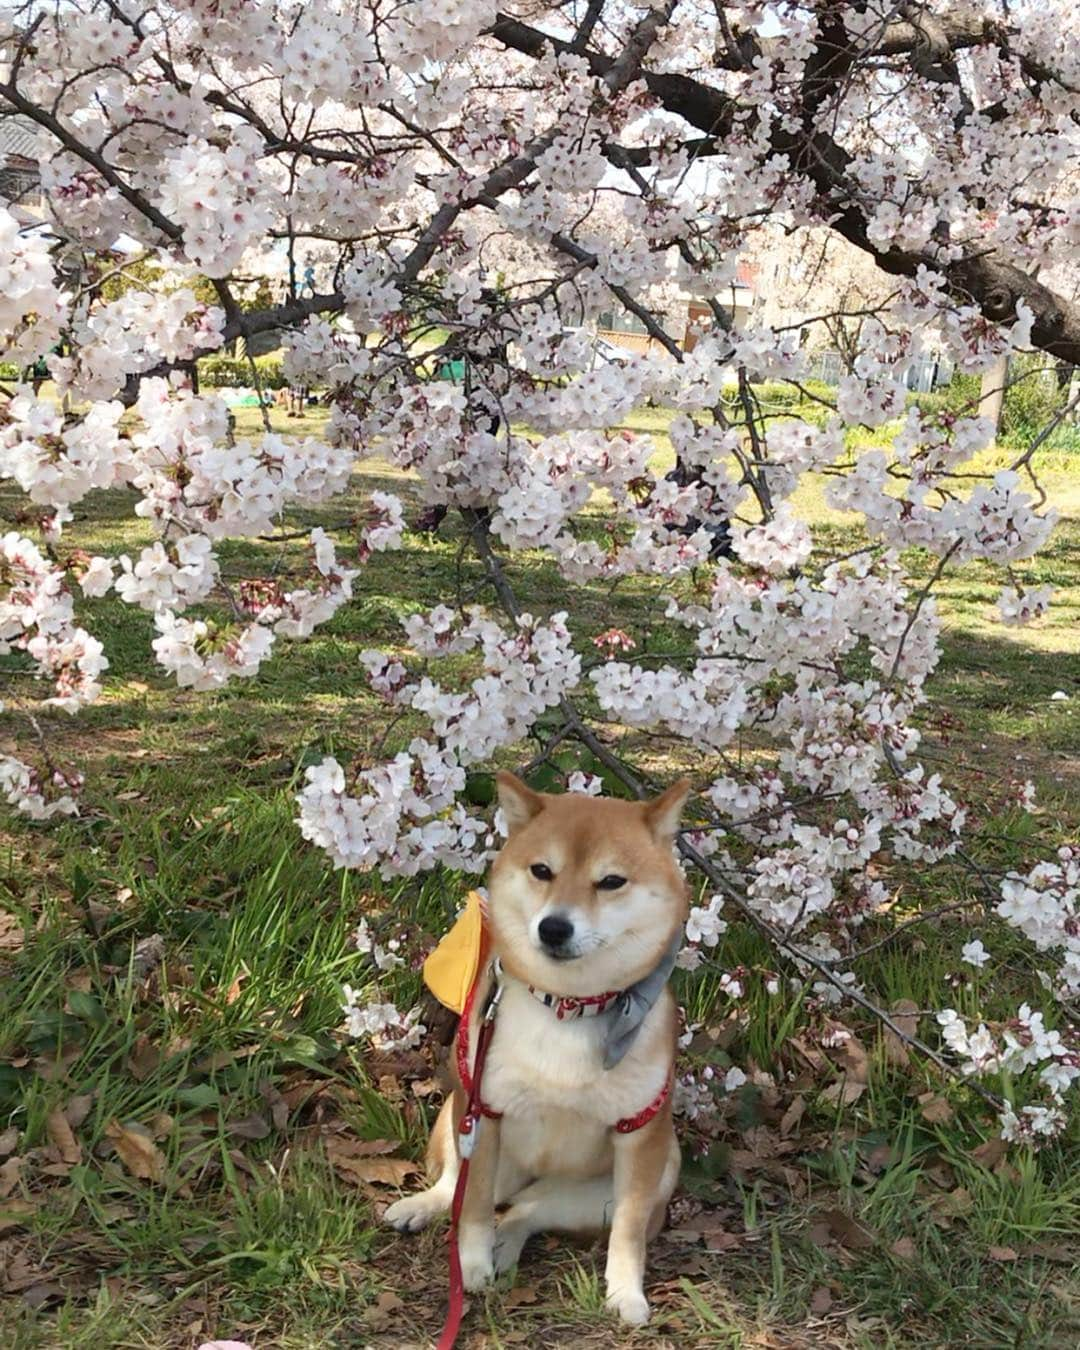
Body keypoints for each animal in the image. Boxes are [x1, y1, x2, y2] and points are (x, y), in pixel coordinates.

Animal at [383, 772, 688, 1328]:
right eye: (542, 871)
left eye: (611, 881)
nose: (554, 926)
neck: (568, 1008)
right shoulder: (485, 1110)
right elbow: (473, 1206)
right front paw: (471, 1266)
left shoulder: (639, 1136)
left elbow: (628, 1232)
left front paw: (625, 1293)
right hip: (458, 1121)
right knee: (459, 1189)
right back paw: (424, 1209)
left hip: (611, 1188)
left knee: (528, 1211)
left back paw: (507, 1243)